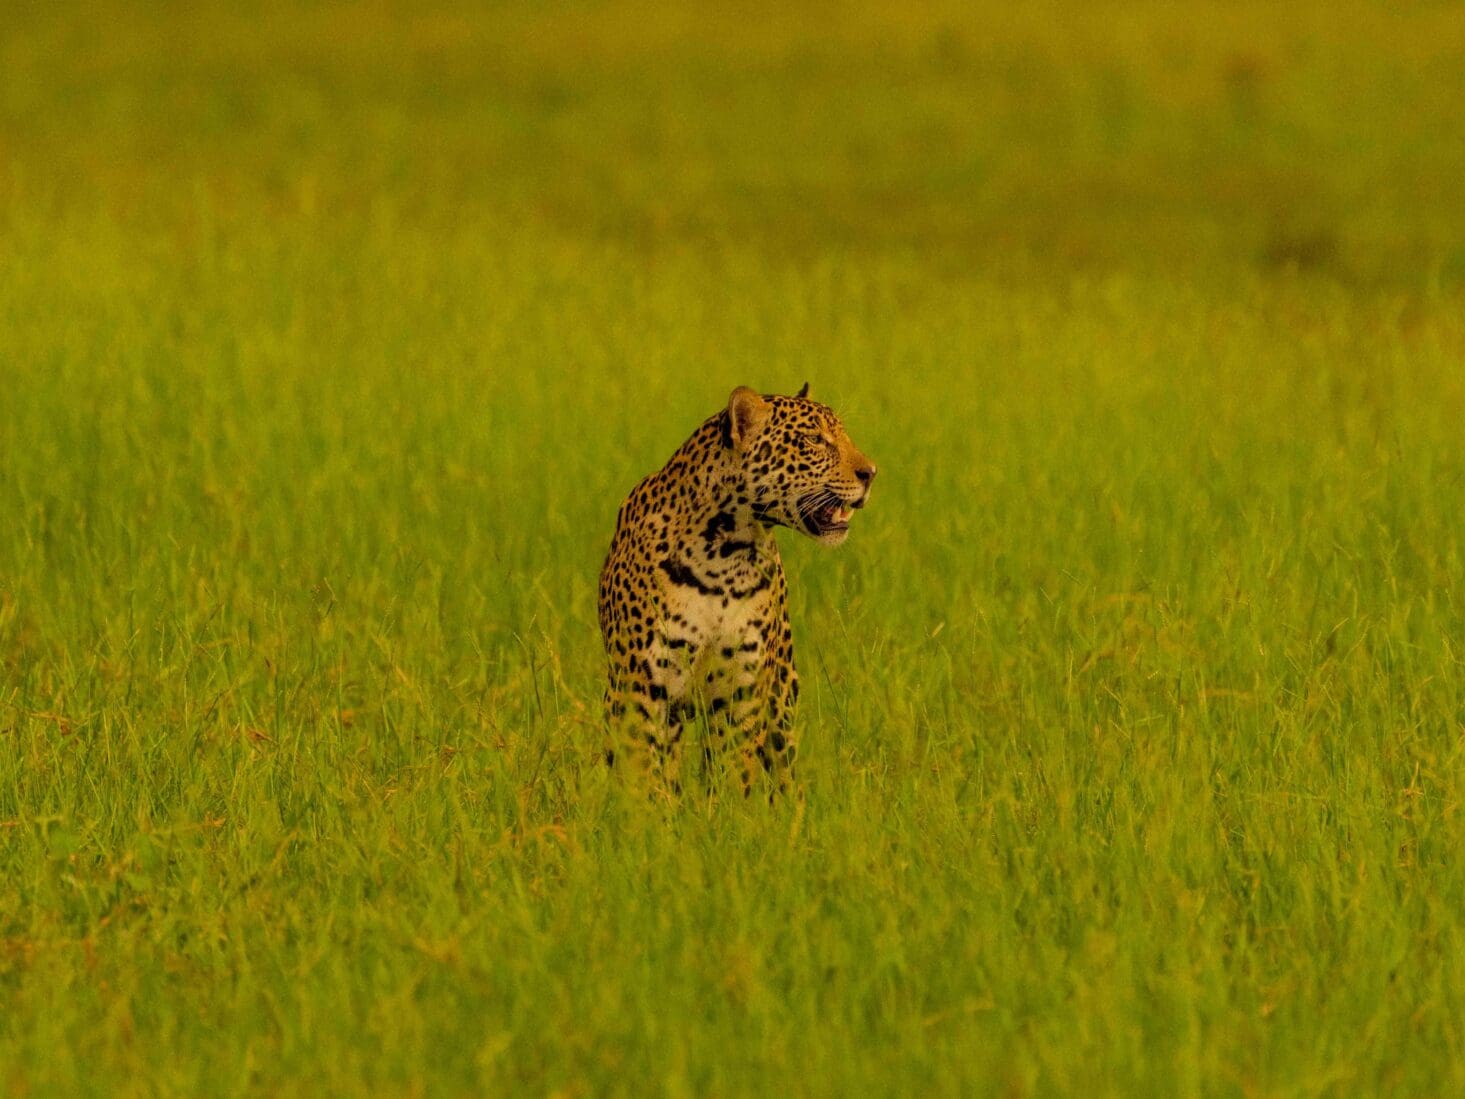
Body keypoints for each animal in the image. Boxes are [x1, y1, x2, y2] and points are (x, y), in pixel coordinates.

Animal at [597, 383, 877, 798]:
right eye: (814, 439)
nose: (871, 473)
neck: (725, 555)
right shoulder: (641, 685)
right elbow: (643, 775)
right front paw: (646, 813)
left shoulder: (740, 690)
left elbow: (732, 772)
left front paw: (728, 813)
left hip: (782, 698)